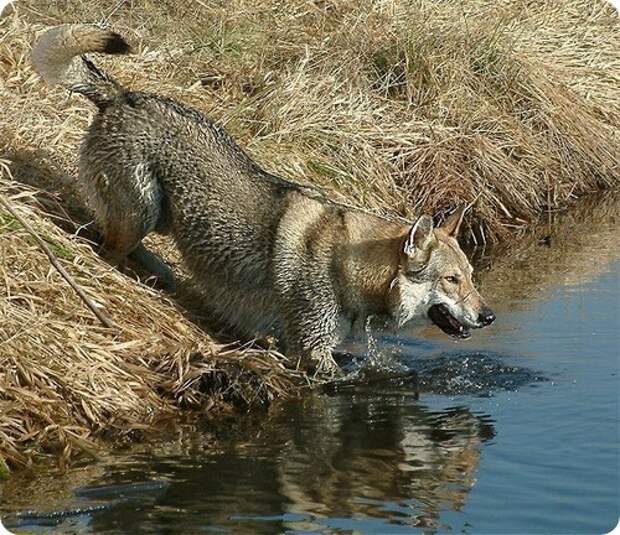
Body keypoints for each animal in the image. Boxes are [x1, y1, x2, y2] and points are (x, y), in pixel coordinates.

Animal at [34, 26, 496, 376]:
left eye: (473, 277)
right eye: (452, 280)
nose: (489, 317)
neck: (351, 269)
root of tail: (122, 94)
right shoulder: (313, 353)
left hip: (160, 217)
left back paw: (164, 275)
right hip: (141, 211)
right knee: (108, 249)